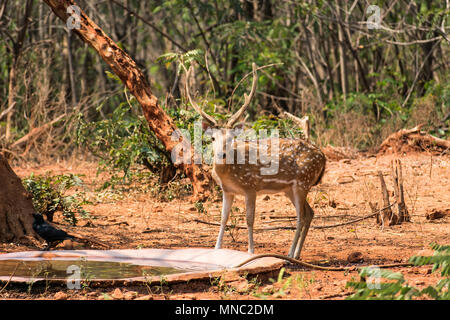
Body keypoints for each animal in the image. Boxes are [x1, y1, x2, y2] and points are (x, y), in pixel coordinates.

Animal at [185, 63, 326, 260]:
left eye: (231, 138)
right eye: (212, 138)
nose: (221, 155)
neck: (230, 173)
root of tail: (323, 156)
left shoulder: (250, 186)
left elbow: (249, 219)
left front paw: (250, 251)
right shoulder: (227, 191)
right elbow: (223, 218)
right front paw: (216, 249)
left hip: (302, 182)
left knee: (301, 216)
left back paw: (290, 253)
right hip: (289, 189)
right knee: (310, 213)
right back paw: (297, 253)